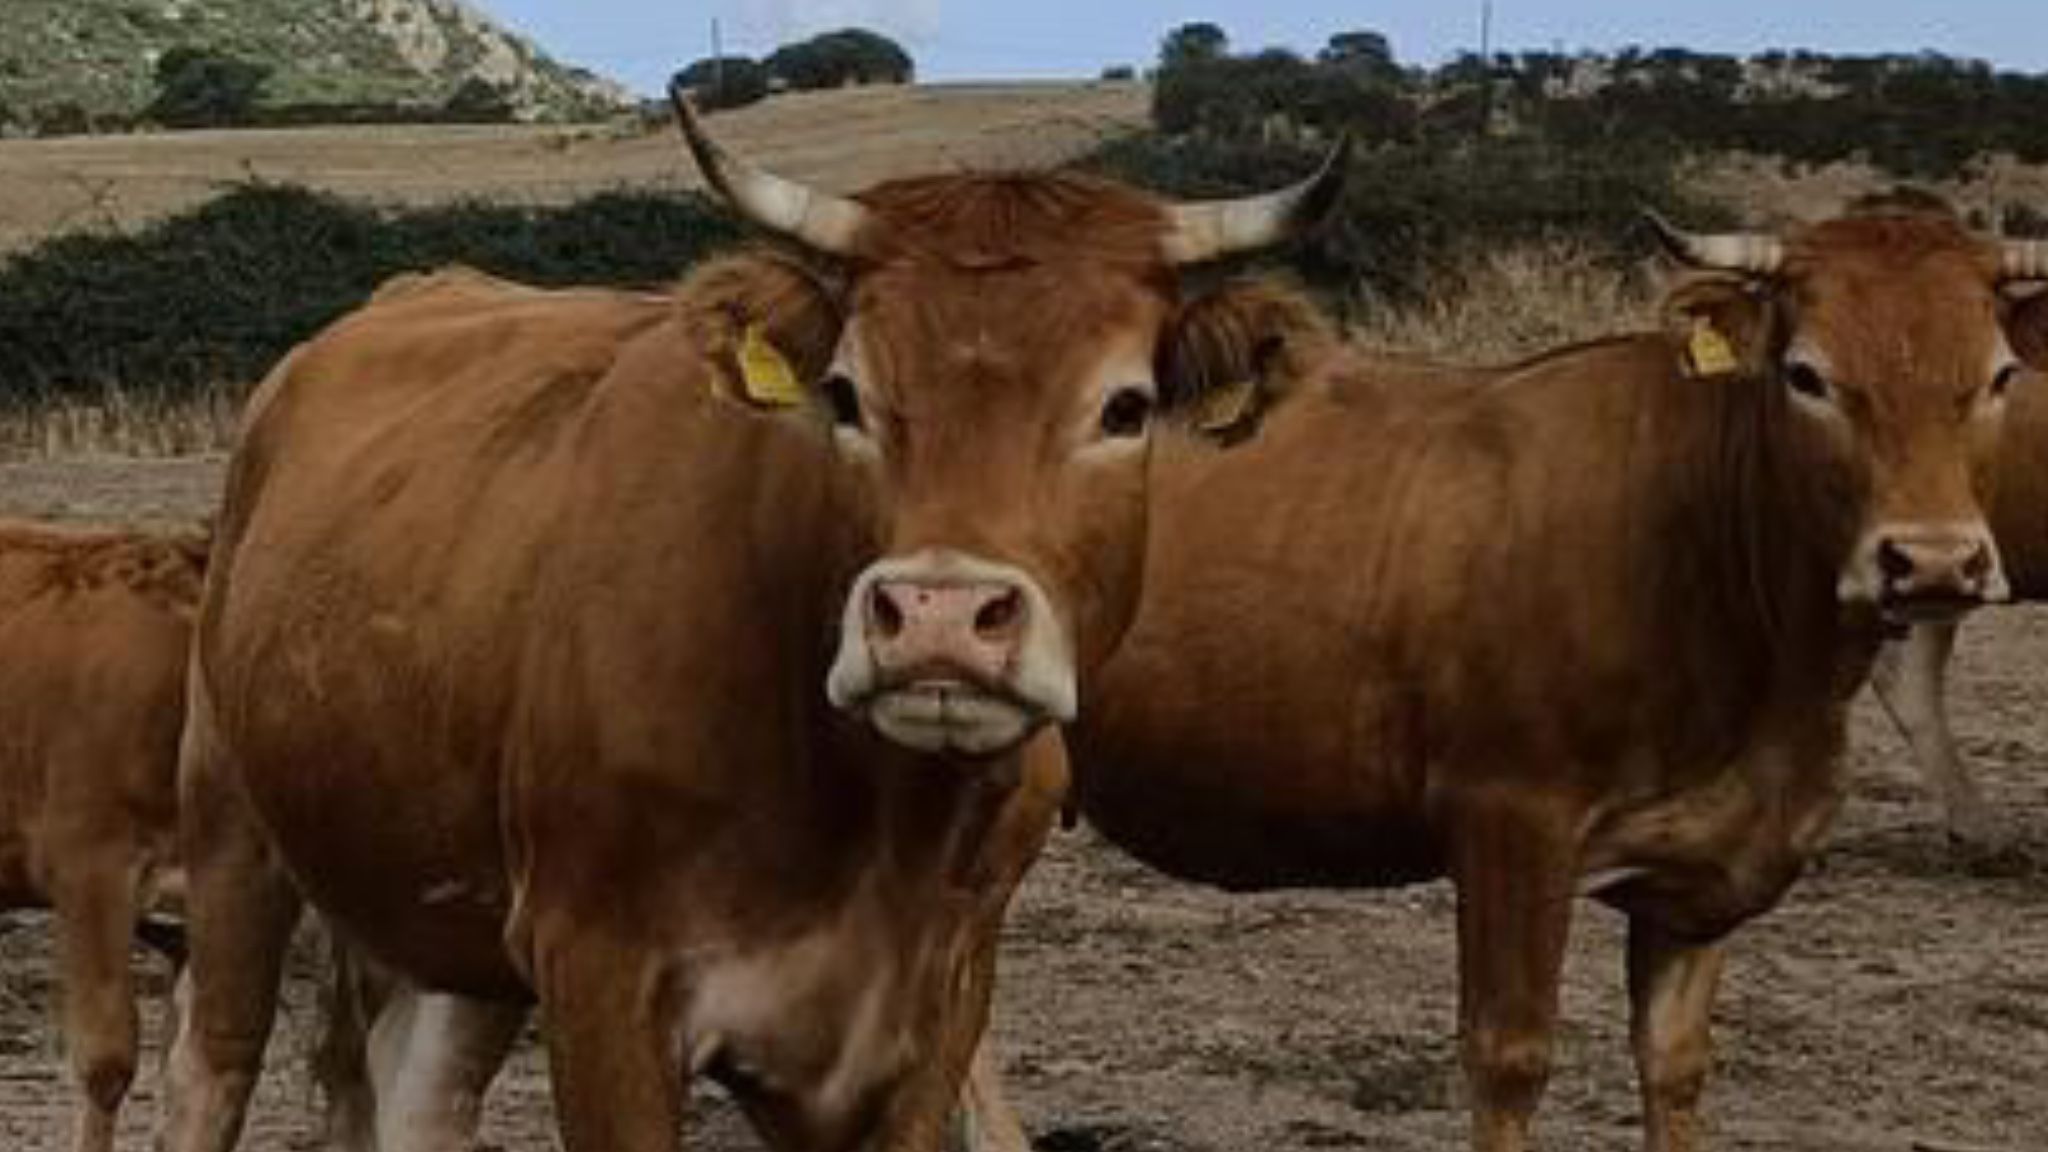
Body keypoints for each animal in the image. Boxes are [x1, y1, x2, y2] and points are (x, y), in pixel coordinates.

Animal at [153, 88, 1348, 1152]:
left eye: (1124, 407)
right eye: (846, 394)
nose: (938, 617)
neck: (872, 816)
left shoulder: (931, 1017)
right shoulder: (603, 984)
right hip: (231, 837)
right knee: (211, 1068)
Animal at [952, 202, 2048, 1152]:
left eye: (1997, 375)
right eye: (1806, 374)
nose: (1933, 561)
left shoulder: (1695, 879)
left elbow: (1675, 1068)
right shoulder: (1510, 824)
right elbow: (1509, 1058)